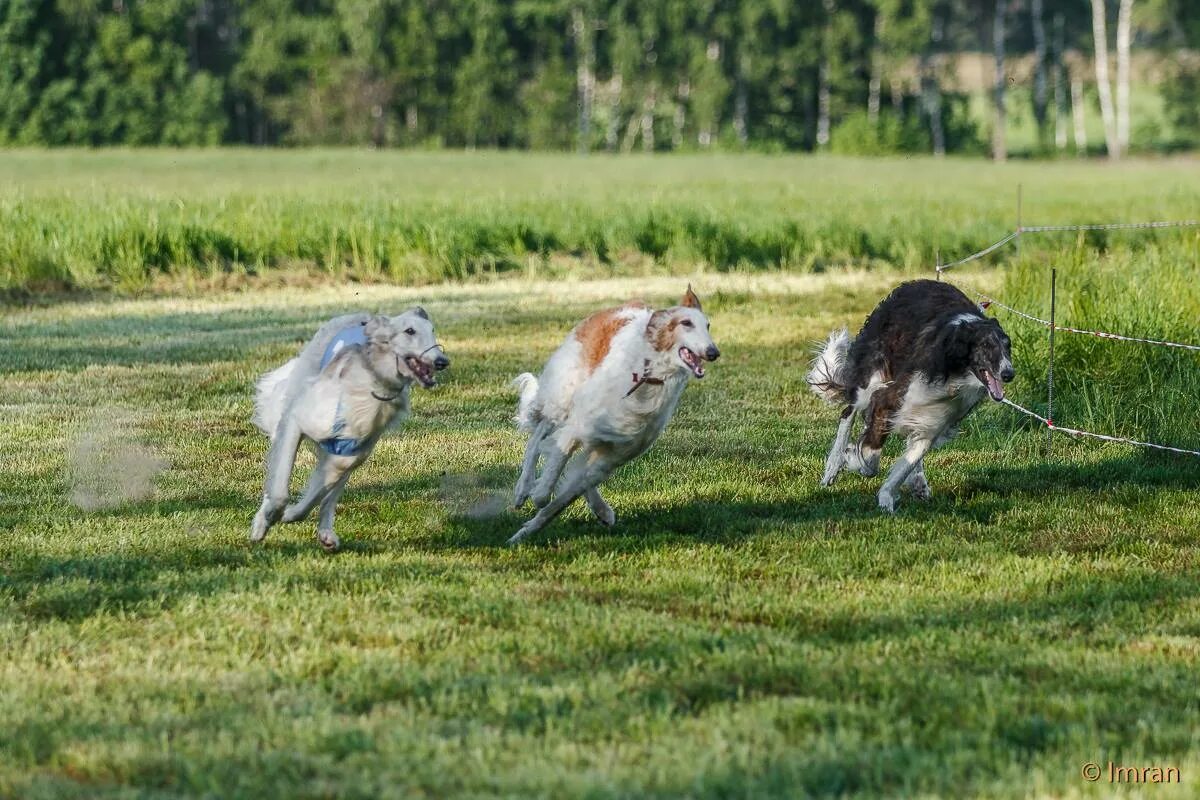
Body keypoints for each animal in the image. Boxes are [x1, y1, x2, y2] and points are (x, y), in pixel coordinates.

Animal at [250, 311, 448, 551]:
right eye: (409, 330)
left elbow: (316, 495)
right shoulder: (296, 421)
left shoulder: (348, 453)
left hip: (352, 457)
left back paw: (326, 533)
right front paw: (266, 520)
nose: (442, 361)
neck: (373, 383)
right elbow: (279, 491)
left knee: (329, 496)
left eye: (432, 330)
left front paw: (290, 514)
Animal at [508, 286, 715, 544]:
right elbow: (547, 487)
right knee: (537, 437)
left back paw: (602, 510)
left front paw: (525, 532)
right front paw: (535, 497)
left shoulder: (611, 458)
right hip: (563, 398)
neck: (646, 377)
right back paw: (522, 489)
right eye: (686, 323)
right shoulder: (578, 426)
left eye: (708, 326)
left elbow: (558, 503)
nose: (713, 352)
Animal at [806, 280, 1012, 513]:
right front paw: (853, 458)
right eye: (986, 346)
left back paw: (918, 483)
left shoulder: (937, 419)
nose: (1009, 373)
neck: (953, 367)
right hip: (871, 381)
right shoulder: (887, 399)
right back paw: (833, 465)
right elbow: (870, 459)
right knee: (848, 412)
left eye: (1008, 347)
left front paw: (886, 500)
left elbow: (908, 460)